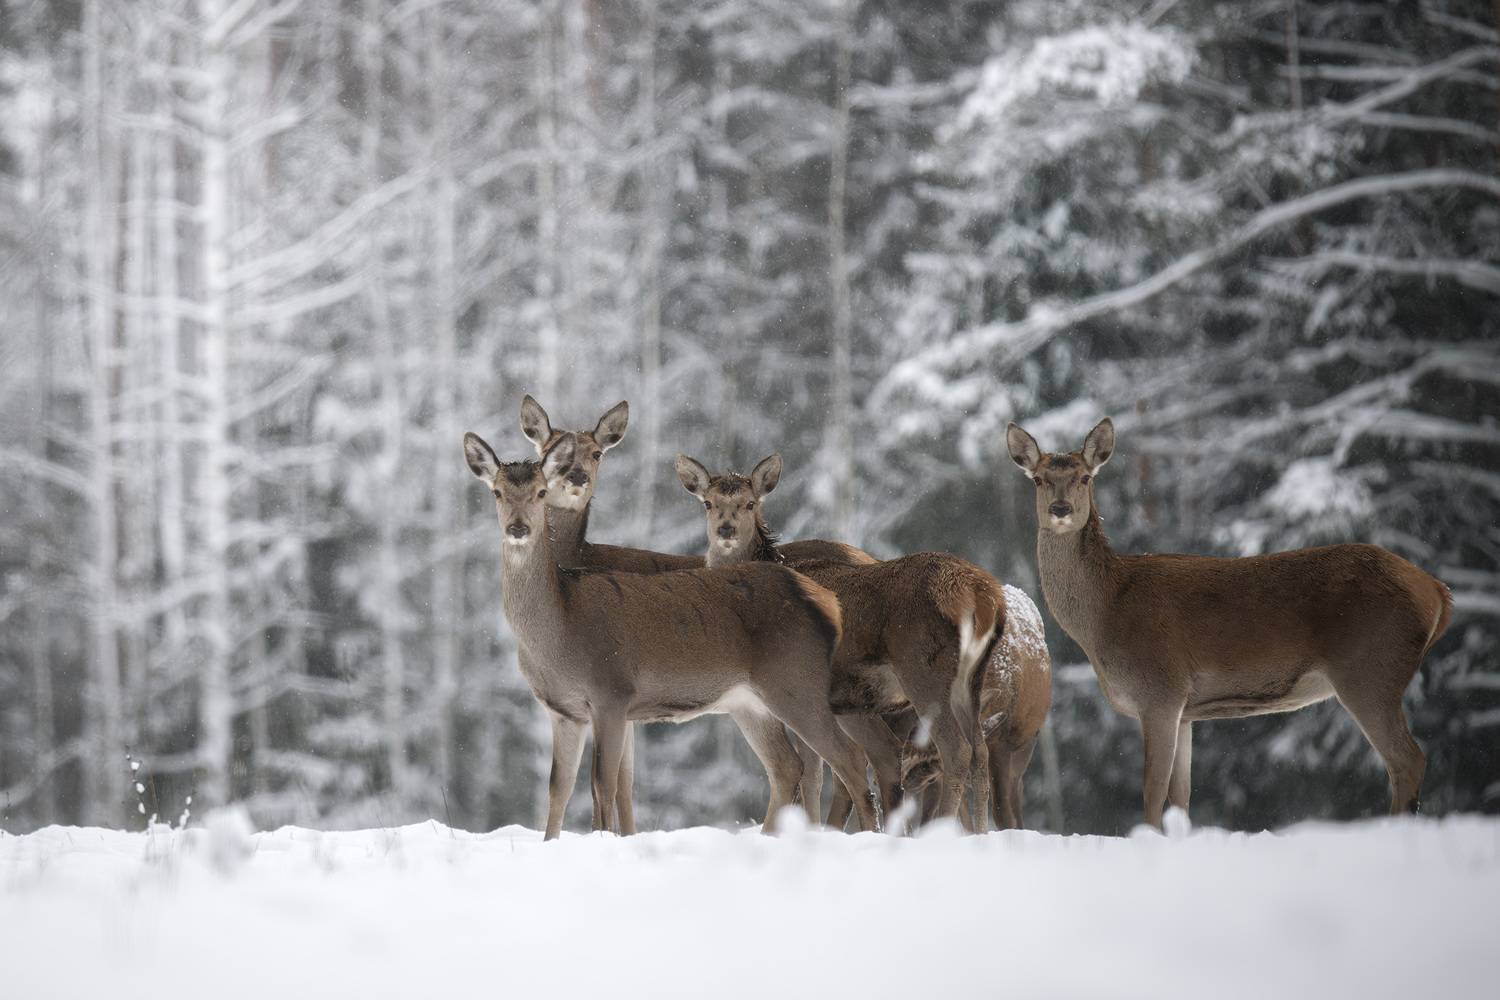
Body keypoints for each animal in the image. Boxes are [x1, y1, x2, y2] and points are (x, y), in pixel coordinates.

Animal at [463, 431, 880, 838]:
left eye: (540, 492)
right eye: (497, 492)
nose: (518, 527)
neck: (559, 630)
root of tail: (826, 600)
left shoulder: (612, 692)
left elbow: (603, 784)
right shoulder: (563, 711)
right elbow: (559, 789)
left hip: (798, 680)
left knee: (851, 758)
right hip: (750, 702)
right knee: (787, 766)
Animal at [675, 452, 1003, 827]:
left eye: (749, 503)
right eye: (708, 502)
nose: (725, 529)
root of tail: (983, 596)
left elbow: (813, 775)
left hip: (924, 670)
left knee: (956, 749)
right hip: (971, 678)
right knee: (980, 751)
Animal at [900, 583, 1052, 831]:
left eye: (929, 767)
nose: (907, 780)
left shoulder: (1000, 739)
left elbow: (1001, 809)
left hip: (1026, 741)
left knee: (1014, 793)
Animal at [1005, 417, 1454, 829]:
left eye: (1084, 477)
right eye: (1039, 479)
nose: (1060, 510)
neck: (1104, 616)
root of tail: (1437, 592)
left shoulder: (1160, 690)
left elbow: (1152, 791)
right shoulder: (1185, 710)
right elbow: (1181, 797)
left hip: (1369, 669)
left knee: (1407, 760)